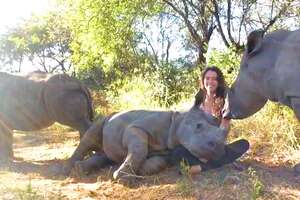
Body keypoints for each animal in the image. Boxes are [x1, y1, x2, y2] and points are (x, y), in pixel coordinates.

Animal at [62, 107, 227, 179]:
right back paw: (67, 170)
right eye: (198, 126)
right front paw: (121, 177)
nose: (218, 151)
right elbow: (139, 149)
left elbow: (157, 162)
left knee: (106, 154)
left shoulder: (167, 151)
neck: (177, 121)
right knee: (90, 136)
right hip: (106, 117)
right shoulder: (135, 128)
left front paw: (137, 171)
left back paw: (80, 169)